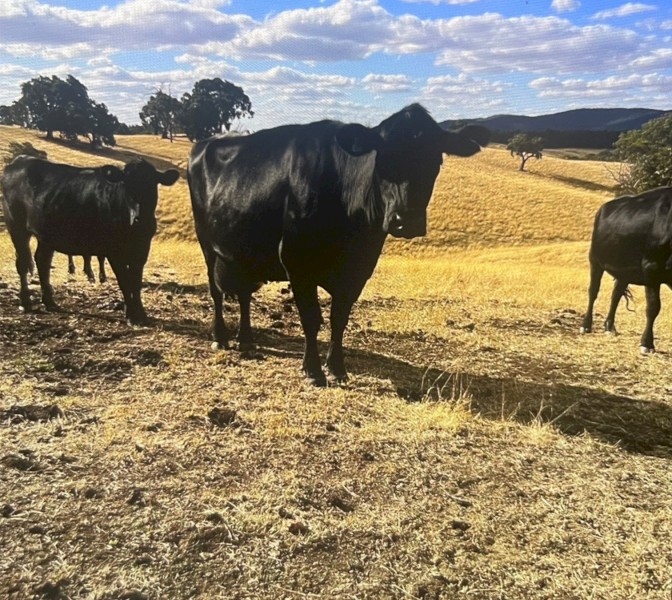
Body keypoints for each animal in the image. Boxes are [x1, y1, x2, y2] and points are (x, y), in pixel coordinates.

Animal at [2, 156, 179, 324]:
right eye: (126, 185)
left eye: (152, 185)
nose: (139, 219)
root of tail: (19, 161)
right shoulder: (113, 251)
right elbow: (125, 281)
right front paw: (131, 315)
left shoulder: (142, 248)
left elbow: (136, 281)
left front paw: (141, 314)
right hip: (16, 226)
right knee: (22, 263)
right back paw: (25, 302)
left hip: (46, 234)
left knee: (42, 260)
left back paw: (50, 302)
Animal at [188, 104, 489, 386]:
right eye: (383, 159)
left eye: (435, 161)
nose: (406, 221)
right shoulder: (297, 262)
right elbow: (312, 318)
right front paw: (312, 370)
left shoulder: (359, 269)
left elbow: (339, 319)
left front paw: (336, 368)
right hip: (207, 244)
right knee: (216, 291)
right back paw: (221, 337)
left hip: (243, 253)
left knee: (244, 293)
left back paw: (247, 339)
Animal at [581, 186, 672, 354]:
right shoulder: (651, 268)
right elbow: (653, 307)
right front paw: (647, 343)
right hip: (595, 260)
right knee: (593, 291)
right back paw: (586, 325)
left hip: (623, 272)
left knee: (615, 295)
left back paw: (609, 327)